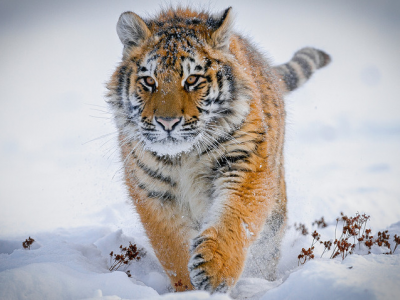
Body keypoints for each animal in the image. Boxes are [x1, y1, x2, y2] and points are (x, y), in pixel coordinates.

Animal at [106, 6, 332, 292]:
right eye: (148, 81)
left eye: (192, 79)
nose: (167, 122)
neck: (184, 155)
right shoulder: (153, 191)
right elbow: (172, 246)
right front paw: (189, 291)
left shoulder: (245, 163)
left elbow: (234, 219)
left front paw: (215, 271)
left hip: (275, 209)